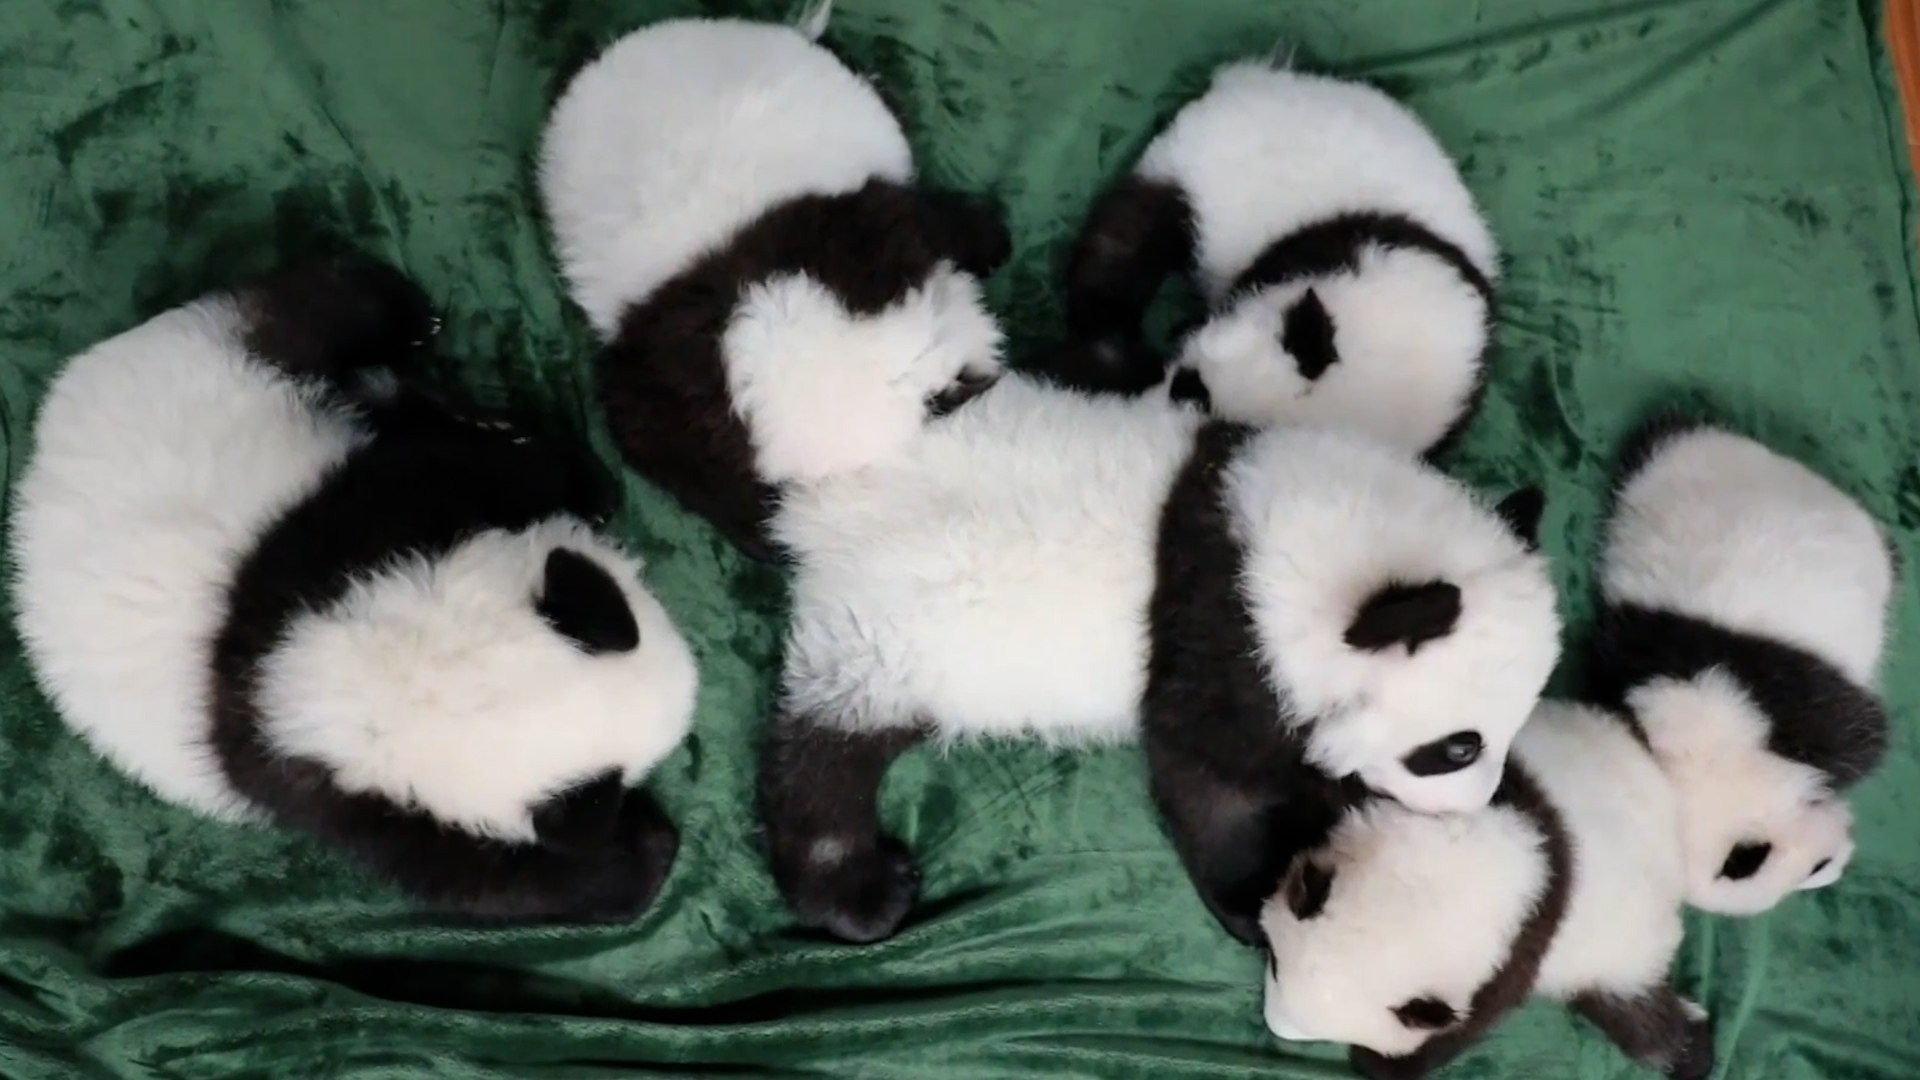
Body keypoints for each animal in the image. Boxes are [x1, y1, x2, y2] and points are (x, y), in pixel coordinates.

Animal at [8, 254, 700, 924]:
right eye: (617, 782)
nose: (692, 682)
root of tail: (36, 468)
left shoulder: (346, 530)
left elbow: (466, 472)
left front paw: (576, 482)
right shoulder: (334, 793)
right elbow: (488, 880)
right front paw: (640, 850)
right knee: (310, 311)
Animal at [538, 4, 1012, 562]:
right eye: (945, 397)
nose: (981, 372)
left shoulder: (853, 221)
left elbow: (925, 216)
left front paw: (989, 241)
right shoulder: (663, 382)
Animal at [1054, 55, 1497, 458]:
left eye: (1190, 397)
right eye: (1187, 380)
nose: (1142, 410)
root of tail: (1249, 78)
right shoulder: (1346, 249)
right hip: (1195, 168)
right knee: (1125, 242)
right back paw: (1107, 329)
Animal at [1261, 699, 1715, 1080]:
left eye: (1326, 1032)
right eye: (1276, 965)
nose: (1276, 1025)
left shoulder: (1512, 964)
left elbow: (1465, 1027)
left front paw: (1382, 1063)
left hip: (1623, 951)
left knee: (1644, 1022)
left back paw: (1693, 1051)